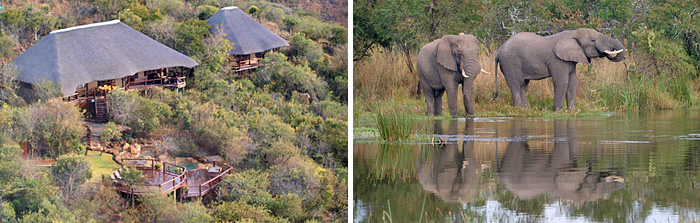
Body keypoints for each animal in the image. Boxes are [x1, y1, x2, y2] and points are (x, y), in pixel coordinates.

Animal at [494, 28, 628, 110]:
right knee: (515, 84)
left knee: (523, 85)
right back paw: (520, 109)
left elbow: (573, 82)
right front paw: (558, 111)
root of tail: (498, 52)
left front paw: (572, 110)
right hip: (510, 63)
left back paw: (528, 109)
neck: (572, 34)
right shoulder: (557, 60)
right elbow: (562, 81)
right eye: (593, 40)